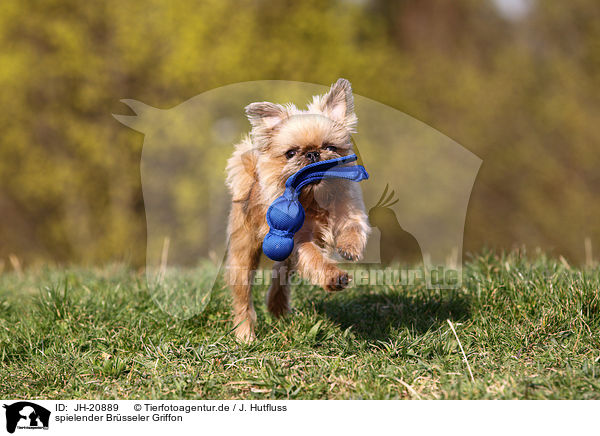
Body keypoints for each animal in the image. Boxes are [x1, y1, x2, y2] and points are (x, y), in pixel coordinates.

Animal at [224, 80, 368, 342]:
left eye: (330, 147)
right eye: (291, 153)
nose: (313, 153)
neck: (313, 200)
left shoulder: (350, 210)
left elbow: (352, 226)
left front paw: (350, 247)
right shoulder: (300, 241)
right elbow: (316, 259)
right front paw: (334, 277)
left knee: (280, 275)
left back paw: (277, 308)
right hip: (244, 254)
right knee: (242, 297)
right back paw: (245, 334)